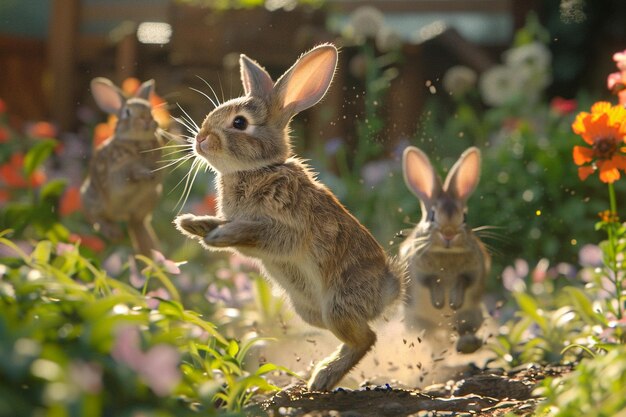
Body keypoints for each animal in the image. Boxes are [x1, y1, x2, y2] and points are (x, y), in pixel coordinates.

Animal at [80, 76, 163, 255]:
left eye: (150, 110)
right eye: (127, 112)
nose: (146, 120)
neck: (138, 141)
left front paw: (152, 174)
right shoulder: (120, 169)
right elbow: (132, 171)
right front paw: (146, 174)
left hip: (149, 200)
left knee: (137, 222)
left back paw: (150, 249)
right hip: (95, 198)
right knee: (94, 217)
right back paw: (114, 234)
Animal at [172, 44, 404, 388]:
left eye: (239, 123)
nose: (200, 139)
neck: (257, 169)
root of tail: (390, 290)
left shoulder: (288, 228)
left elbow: (256, 233)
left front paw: (218, 236)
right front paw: (191, 224)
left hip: (339, 305)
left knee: (366, 338)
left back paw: (323, 377)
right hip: (310, 312)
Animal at [400, 145, 488, 352]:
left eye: (464, 217)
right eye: (432, 215)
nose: (448, 233)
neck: (446, 254)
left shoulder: (473, 270)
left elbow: (463, 281)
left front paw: (453, 302)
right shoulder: (419, 271)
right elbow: (432, 281)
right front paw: (440, 303)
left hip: (471, 315)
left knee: (463, 329)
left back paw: (467, 345)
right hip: (417, 322)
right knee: (431, 338)